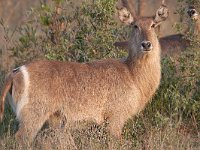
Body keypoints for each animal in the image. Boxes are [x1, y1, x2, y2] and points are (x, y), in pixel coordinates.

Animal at [0, 0, 169, 145]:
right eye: (135, 26)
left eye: (153, 25)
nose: (146, 44)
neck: (132, 74)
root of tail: (15, 72)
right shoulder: (115, 117)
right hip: (33, 115)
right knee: (21, 138)